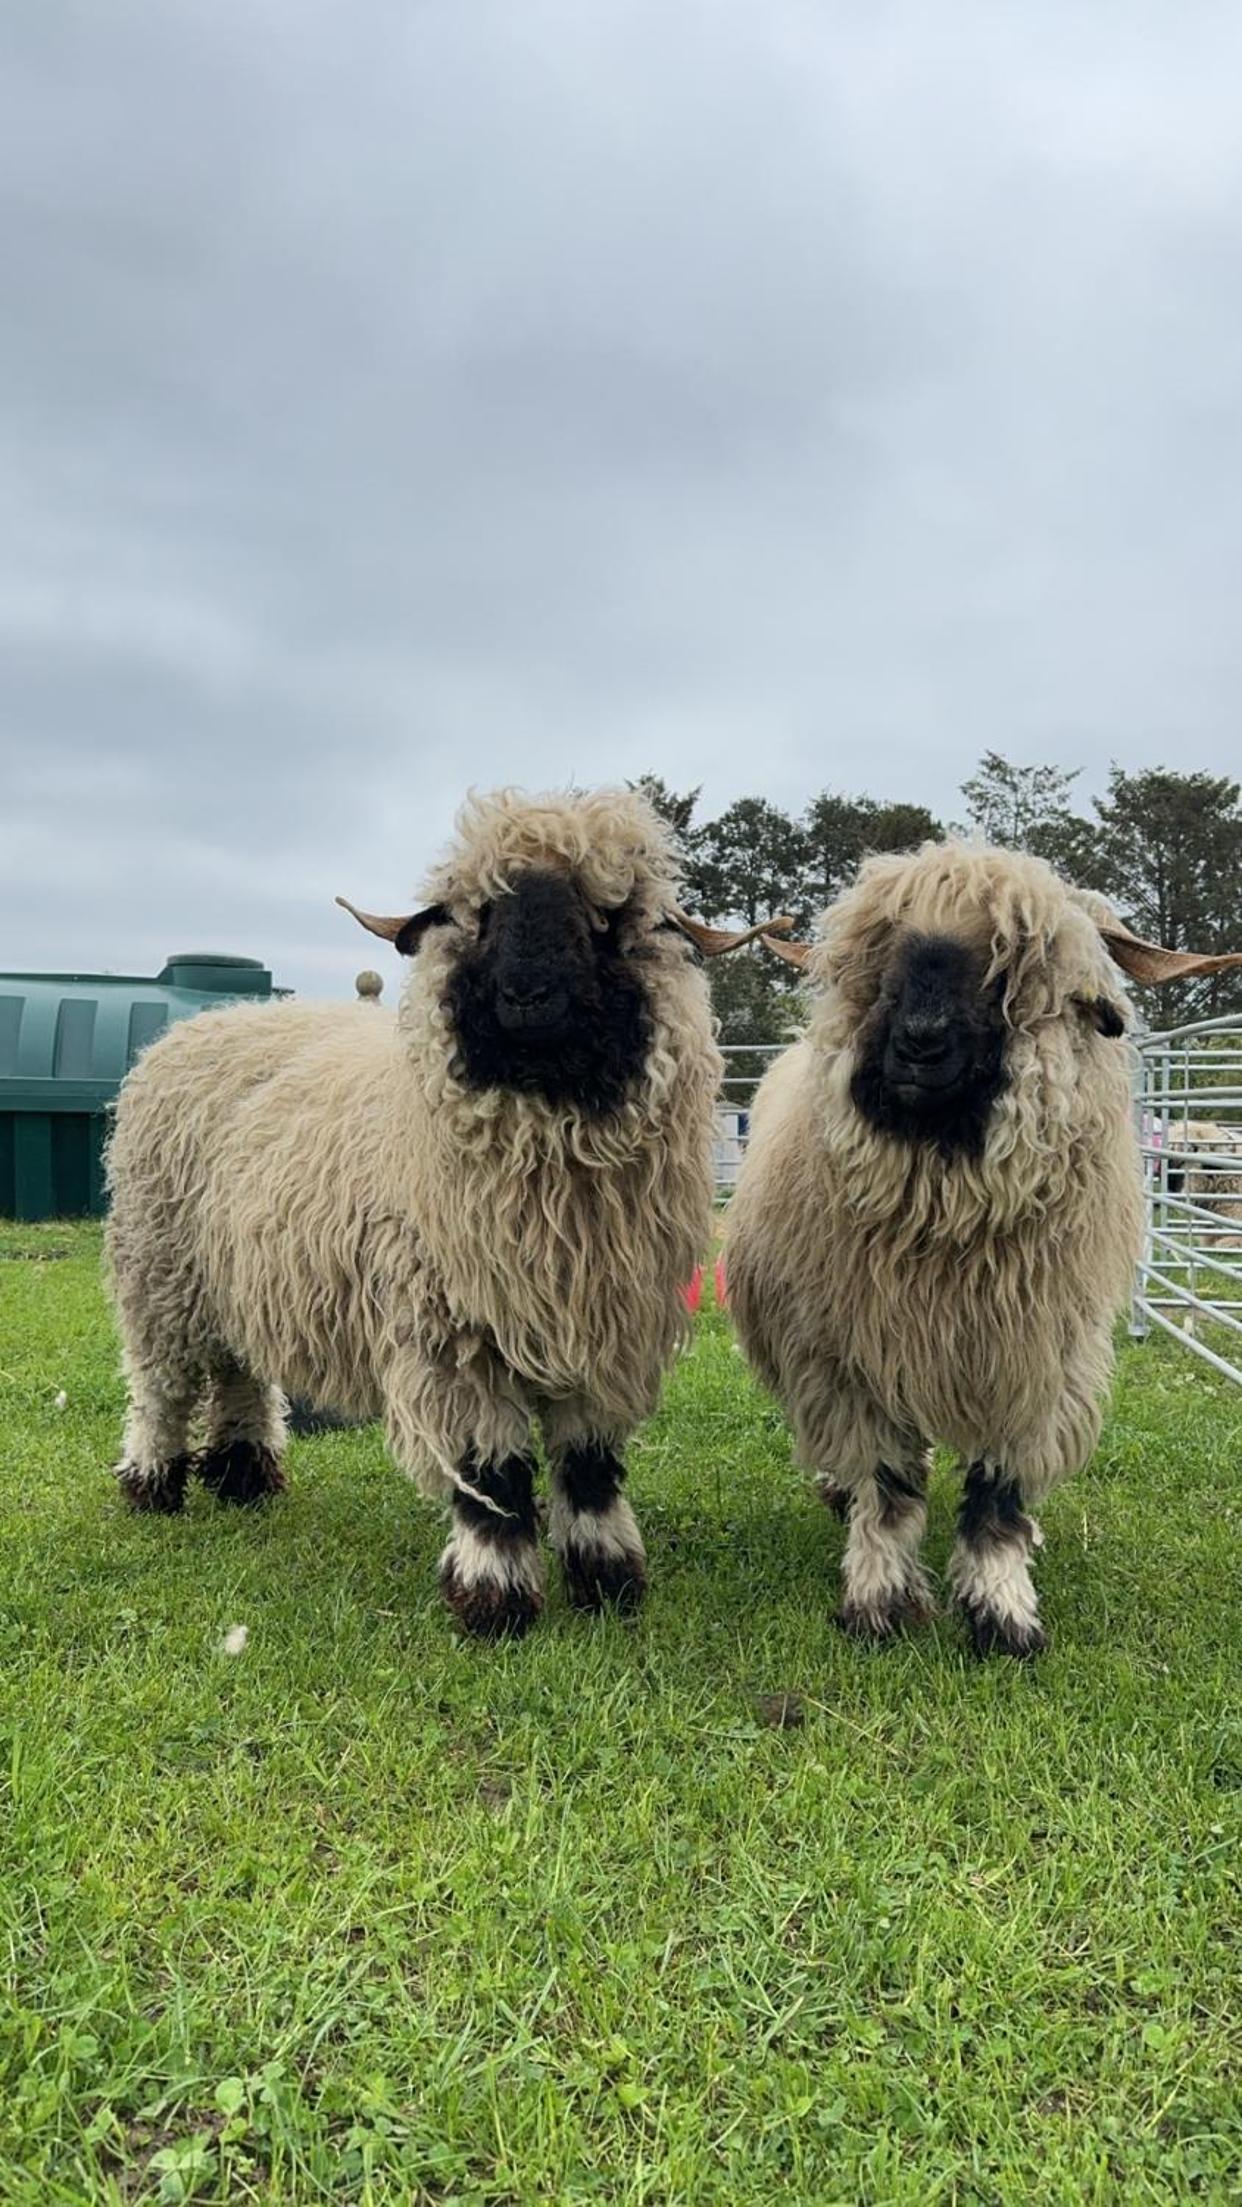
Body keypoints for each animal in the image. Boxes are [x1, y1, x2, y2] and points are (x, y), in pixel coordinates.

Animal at [105, 787, 779, 1638]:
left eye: (608, 914)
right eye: (480, 914)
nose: (526, 996)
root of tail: (199, 1024)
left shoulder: (602, 1326)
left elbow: (590, 1464)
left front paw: (607, 1578)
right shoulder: (449, 1331)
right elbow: (489, 1466)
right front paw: (495, 1595)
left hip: (238, 1277)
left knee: (237, 1374)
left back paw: (242, 1477)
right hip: (159, 1270)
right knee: (161, 1386)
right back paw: (153, 1484)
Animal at [725, 841, 1242, 1657]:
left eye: (1007, 970)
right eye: (884, 962)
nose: (918, 1041)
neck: (947, 1220)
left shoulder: (1034, 1361)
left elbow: (998, 1497)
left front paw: (1004, 1612)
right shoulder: (854, 1358)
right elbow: (888, 1487)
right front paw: (878, 1600)